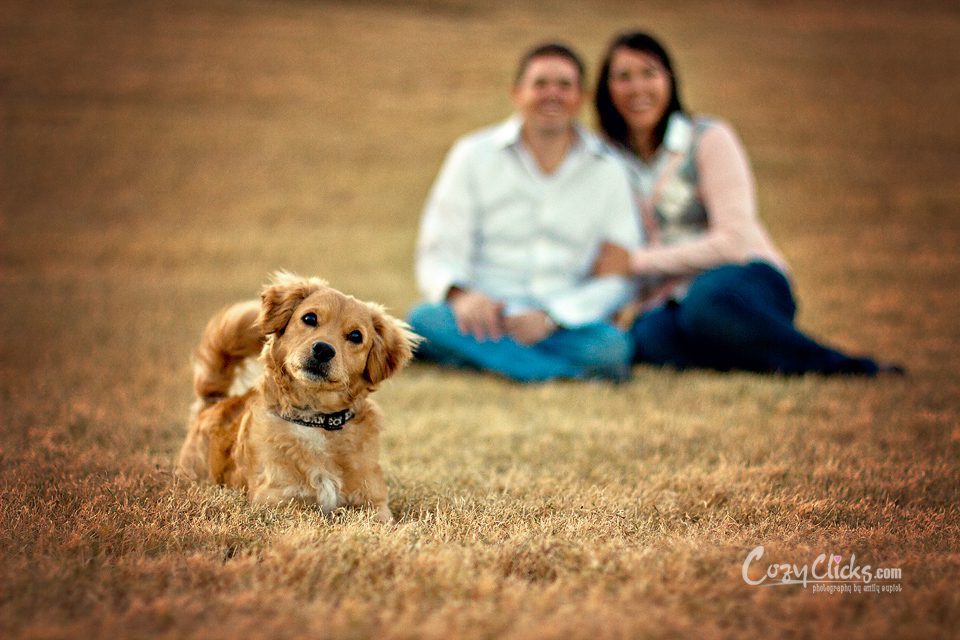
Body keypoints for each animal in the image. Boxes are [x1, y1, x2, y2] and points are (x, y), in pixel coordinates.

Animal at [178, 272, 418, 524]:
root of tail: (213, 403)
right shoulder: (275, 498)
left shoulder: (375, 503)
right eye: (310, 318)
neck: (316, 420)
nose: (323, 349)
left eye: (355, 336)